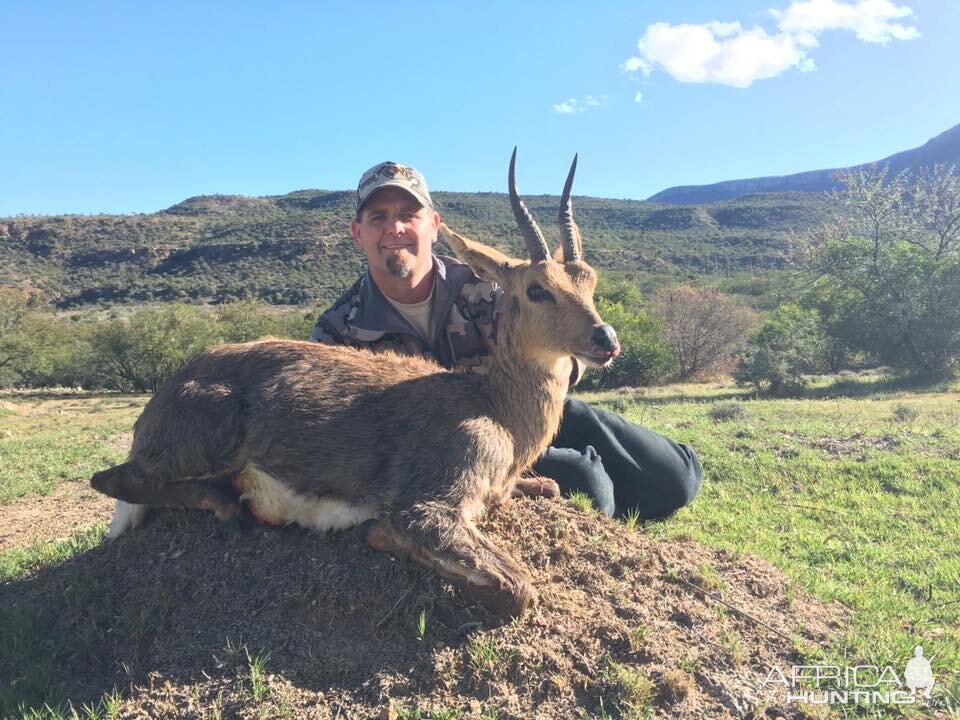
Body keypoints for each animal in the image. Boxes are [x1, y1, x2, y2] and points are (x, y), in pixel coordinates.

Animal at [92, 149, 624, 616]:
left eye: (590, 281)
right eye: (537, 289)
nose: (606, 340)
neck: (494, 408)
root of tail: (164, 397)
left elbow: (549, 489)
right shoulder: (428, 503)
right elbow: (517, 588)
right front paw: (374, 531)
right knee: (111, 479)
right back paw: (229, 507)